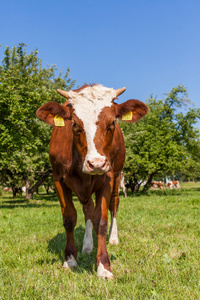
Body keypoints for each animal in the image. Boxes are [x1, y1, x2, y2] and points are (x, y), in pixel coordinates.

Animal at [36, 83, 148, 278]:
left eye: (112, 123)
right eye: (74, 124)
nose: (96, 163)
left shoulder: (107, 178)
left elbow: (101, 220)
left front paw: (104, 266)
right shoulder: (57, 178)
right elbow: (70, 219)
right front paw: (70, 260)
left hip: (118, 176)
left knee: (114, 205)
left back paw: (113, 238)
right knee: (87, 209)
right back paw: (87, 245)